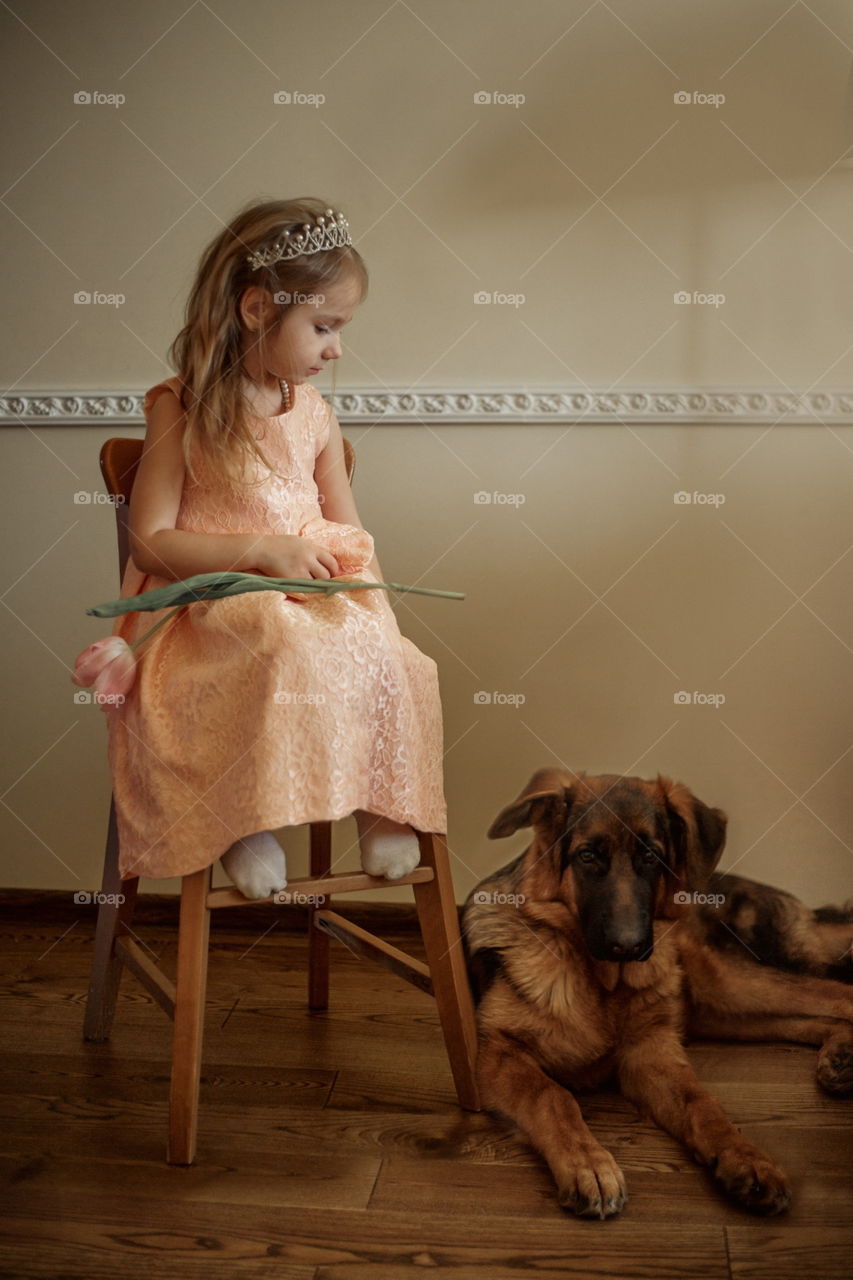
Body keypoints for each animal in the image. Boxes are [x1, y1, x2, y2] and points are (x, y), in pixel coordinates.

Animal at [466, 768, 850, 1218]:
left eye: (652, 857)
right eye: (587, 856)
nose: (629, 946)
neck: (602, 985)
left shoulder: (650, 1055)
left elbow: (702, 1103)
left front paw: (747, 1156)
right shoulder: (497, 1053)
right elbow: (552, 1095)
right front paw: (588, 1164)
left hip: (726, 983)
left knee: (838, 993)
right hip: (722, 1009)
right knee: (814, 1015)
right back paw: (842, 1055)